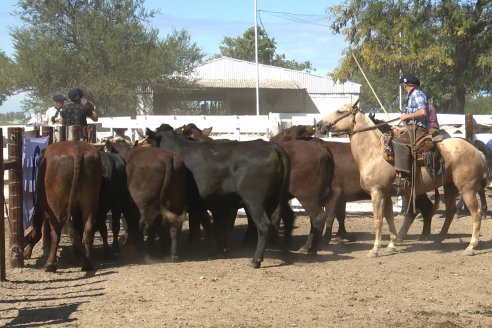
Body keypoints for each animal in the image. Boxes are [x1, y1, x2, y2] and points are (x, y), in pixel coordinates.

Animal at [23, 141, 102, 272]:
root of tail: (77, 149)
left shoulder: (39, 206)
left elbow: (36, 232)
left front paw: (27, 251)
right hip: (90, 203)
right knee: (88, 229)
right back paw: (87, 263)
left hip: (56, 206)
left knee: (56, 232)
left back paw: (50, 264)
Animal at [318, 101, 486, 258]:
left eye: (340, 111)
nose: (319, 125)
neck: (374, 152)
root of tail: (477, 151)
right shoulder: (386, 195)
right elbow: (389, 218)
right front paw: (391, 244)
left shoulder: (377, 193)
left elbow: (378, 220)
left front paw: (375, 249)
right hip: (450, 186)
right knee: (449, 212)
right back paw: (438, 239)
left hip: (467, 188)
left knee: (476, 213)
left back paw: (471, 246)